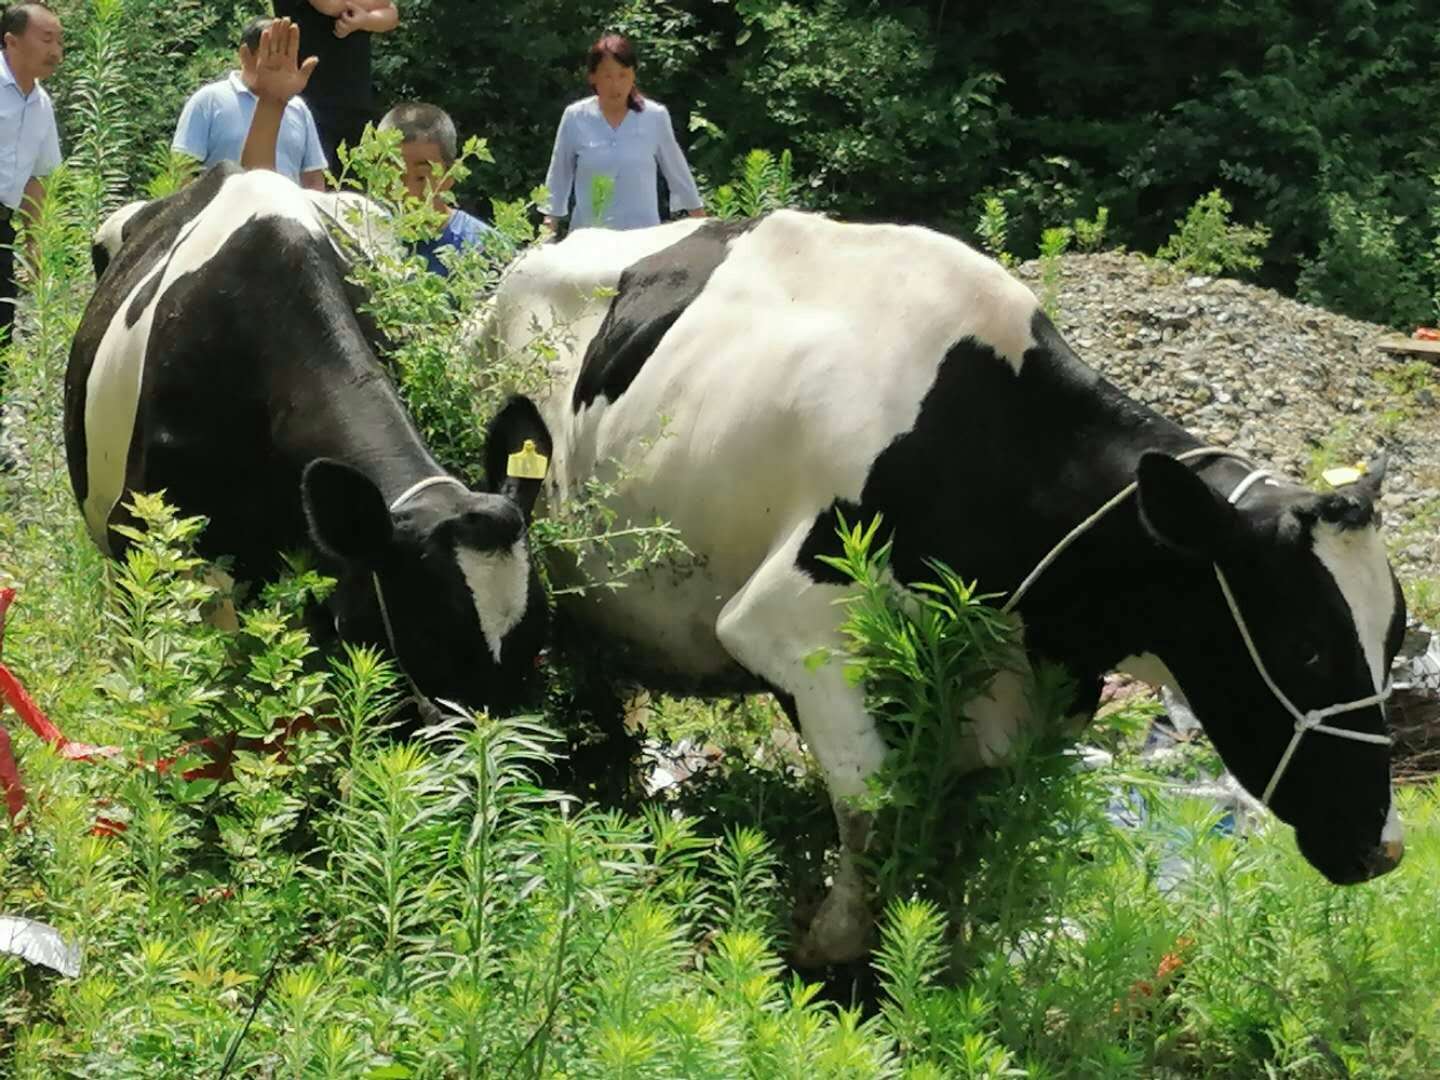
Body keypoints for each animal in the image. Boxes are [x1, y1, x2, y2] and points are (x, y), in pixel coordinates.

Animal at [492, 208, 1405, 961]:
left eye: (1395, 641)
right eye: (1307, 645)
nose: (1387, 845)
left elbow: (969, 832)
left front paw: (944, 949)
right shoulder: (787, 627)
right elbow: (878, 806)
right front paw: (837, 951)